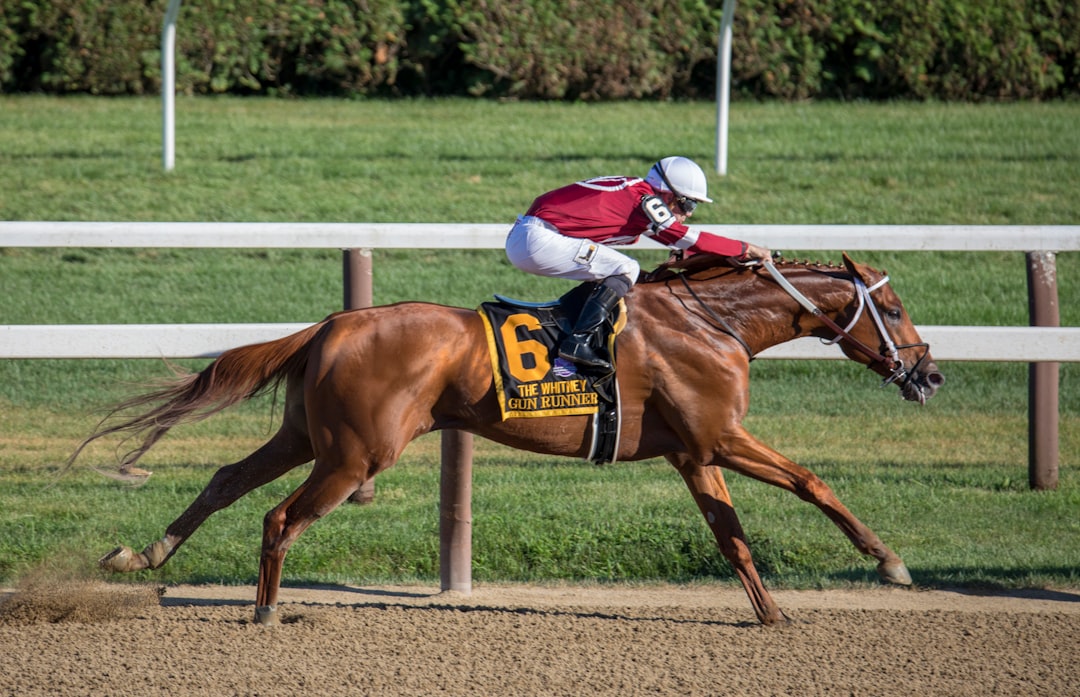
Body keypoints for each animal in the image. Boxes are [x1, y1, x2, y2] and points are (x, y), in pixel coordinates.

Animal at [73, 253, 944, 626]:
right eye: (896, 309)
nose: (929, 373)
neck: (713, 321)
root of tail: (332, 324)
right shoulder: (721, 437)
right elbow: (812, 481)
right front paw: (891, 561)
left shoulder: (695, 451)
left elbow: (731, 537)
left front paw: (771, 615)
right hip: (356, 453)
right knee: (280, 517)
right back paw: (263, 613)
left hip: (307, 437)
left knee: (226, 477)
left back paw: (140, 555)